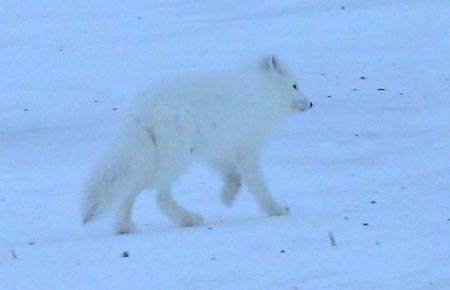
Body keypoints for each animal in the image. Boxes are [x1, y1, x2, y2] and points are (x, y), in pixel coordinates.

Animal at [81, 56, 312, 233]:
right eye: (295, 85)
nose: (310, 103)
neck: (258, 93)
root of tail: (140, 112)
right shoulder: (246, 150)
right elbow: (258, 183)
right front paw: (275, 209)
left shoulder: (217, 150)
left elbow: (233, 175)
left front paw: (227, 196)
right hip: (177, 158)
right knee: (160, 196)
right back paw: (190, 219)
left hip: (154, 159)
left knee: (133, 188)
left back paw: (124, 226)